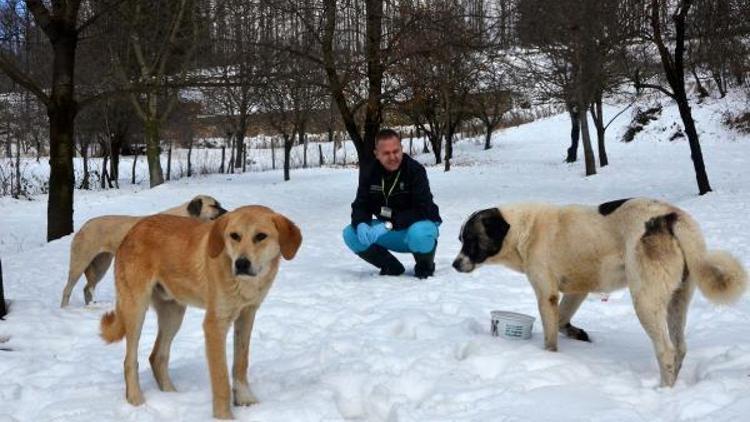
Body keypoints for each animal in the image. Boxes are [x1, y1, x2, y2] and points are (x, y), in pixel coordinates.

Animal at [60, 195, 226, 306]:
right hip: (80, 263)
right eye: (214, 206)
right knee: (67, 289)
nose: (227, 213)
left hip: (102, 264)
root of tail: (84, 226)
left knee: (87, 288)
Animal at [100, 204, 302, 418]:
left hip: (173, 314)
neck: (244, 284)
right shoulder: (214, 324)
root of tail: (133, 229)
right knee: (130, 361)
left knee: (157, 356)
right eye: (234, 236)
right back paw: (136, 400)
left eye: (261, 236)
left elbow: (241, 362)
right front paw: (223, 416)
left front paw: (244, 399)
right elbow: (221, 378)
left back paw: (171, 395)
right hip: (136, 309)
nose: (241, 264)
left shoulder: (247, 314)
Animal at [452, 198, 748, 386]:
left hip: (645, 300)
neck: (523, 228)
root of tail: (670, 216)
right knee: (680, 348)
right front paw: (578, 334)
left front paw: (548, 358)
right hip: (678, 300)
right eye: (460, 239)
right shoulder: (577, 291)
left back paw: (663, 390)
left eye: (471, 240)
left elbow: (550, 335)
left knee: (665, 350)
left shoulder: (546, 295)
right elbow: (562, 320)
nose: (455, 264)